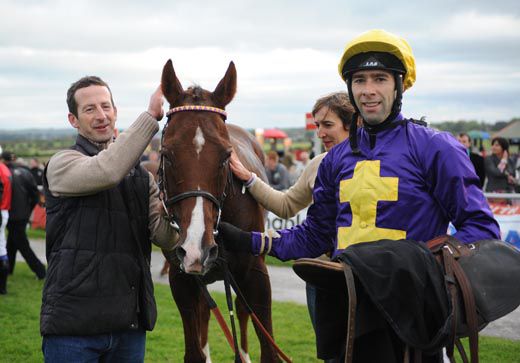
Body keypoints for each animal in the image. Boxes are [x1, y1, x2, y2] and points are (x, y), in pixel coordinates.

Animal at [159, 60, 280, 363]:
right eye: (166, 154)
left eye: (227, 155)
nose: (197, 247)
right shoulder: (182, 279)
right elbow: (194, 351)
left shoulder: (256, 275)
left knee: (242, 311)